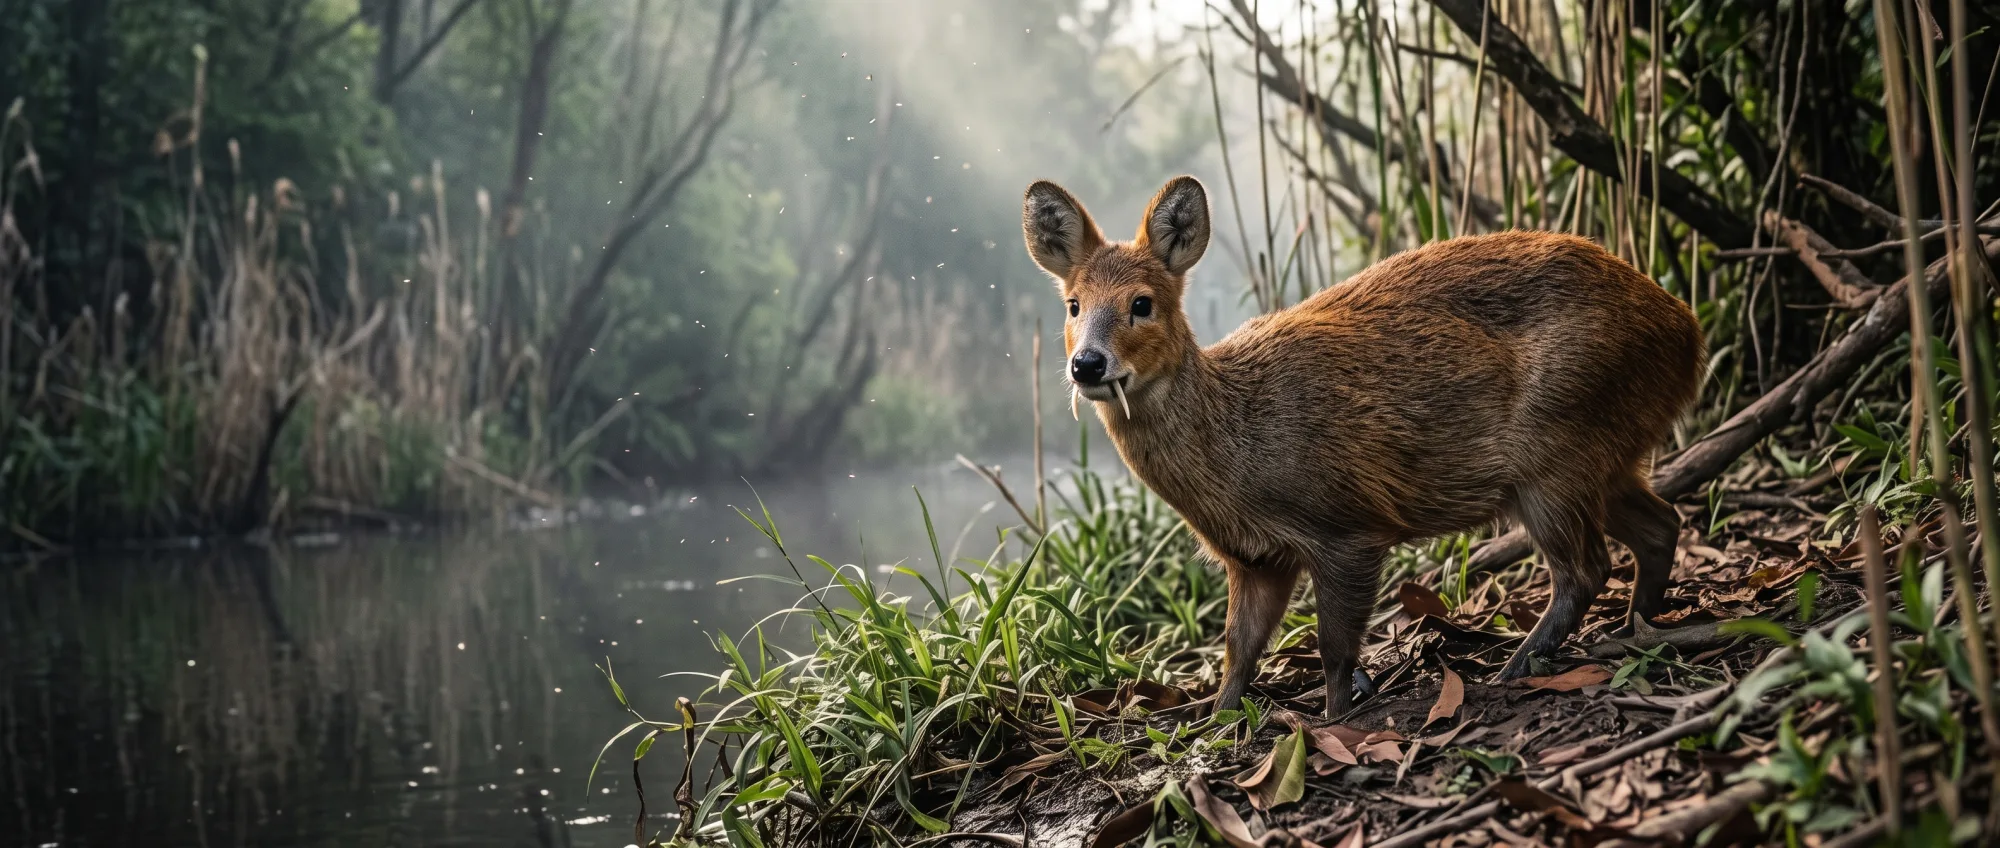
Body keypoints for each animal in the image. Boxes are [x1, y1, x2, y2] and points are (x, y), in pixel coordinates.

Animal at [1021, 175, 1705, 717]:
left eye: (1142, 303)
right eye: (1073, 304)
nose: (1087, 364)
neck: (1237, 442)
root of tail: (1687, 331)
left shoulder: (1344, 526)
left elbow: (1333, 647)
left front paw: (1332, 718)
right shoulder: (1255, 559)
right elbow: (1238, 651)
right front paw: (1215, 725)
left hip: (1555, 452)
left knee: (1586, 568)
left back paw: (1520, 664)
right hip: (1603, 458)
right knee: (1660, 524)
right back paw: (1642, 625)